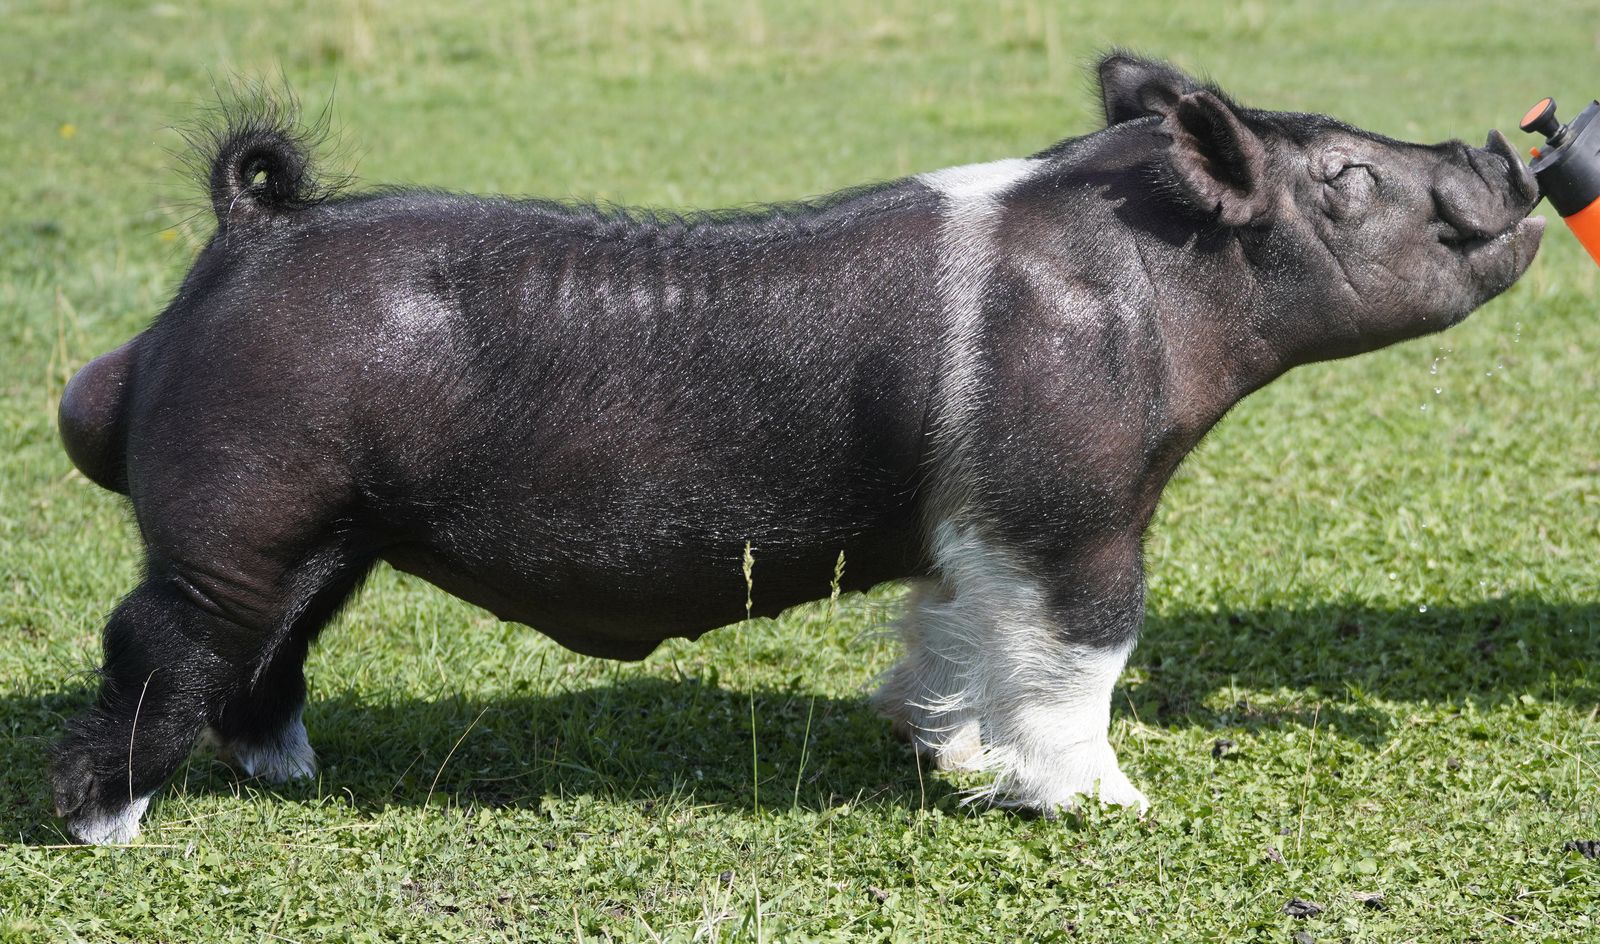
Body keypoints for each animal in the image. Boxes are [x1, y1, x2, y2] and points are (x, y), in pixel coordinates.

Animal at [52, 55, 1543, 843]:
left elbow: (950, 635)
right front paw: (1111, 804)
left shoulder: (971, 529)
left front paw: (952, 762)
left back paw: (291, 776)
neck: (1155, 287)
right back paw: (105, 830)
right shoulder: (1071, 508)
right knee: (153, 642)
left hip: (329, 532)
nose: (1505, 155)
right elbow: (1090, 651)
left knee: (267, 650)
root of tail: (247, 237)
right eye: (1346, 182)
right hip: (236, 520)